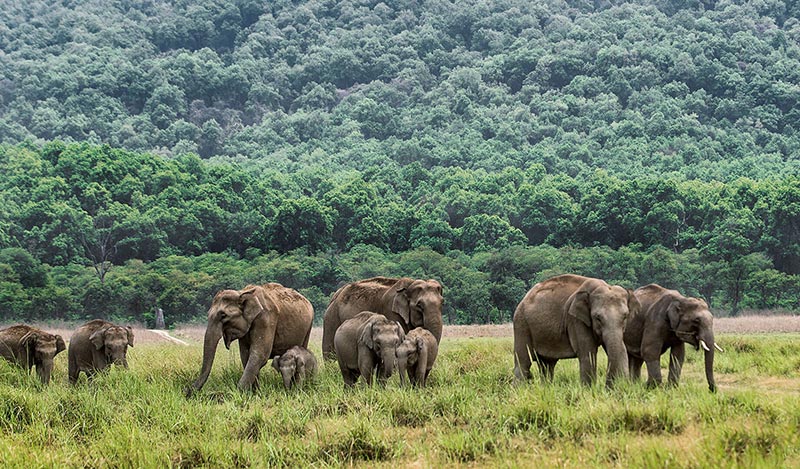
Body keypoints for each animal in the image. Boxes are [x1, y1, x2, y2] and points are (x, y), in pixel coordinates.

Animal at [186, 282, 314, 394]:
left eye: (223, 315)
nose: (187, 392)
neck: (242, 293)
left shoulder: (266, 319)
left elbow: (259, 355)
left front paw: (237, 393)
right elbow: (246, 356)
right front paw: (255, 393)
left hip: (308, 328)